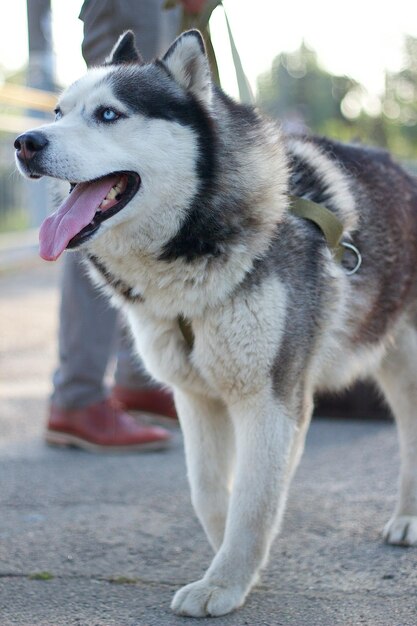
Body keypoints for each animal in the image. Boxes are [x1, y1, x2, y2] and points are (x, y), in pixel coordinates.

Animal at [14, 29, 416, 616]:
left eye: (109, 114)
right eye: (58, 111)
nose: (24, 142)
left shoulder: (271, 398)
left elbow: (254, 498)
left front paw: (224, 582)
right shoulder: (196, 396)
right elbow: (210, 491)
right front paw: (233, 563)